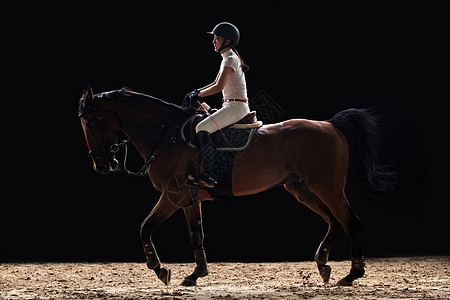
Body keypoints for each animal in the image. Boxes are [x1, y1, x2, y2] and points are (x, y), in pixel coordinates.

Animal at [79, 86, 396, 286]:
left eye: (91, 122)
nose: (101, 165)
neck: (166, 134)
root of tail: (330, 124)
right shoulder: (189, 199)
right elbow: (196, 236)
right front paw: (196, 274)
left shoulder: (172, 195)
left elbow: (144, 228)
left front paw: (160, 270)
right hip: (302, 189)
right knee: (332, 220)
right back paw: (323, 262)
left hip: (327, 188)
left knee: (351, 222)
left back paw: (352, 275)